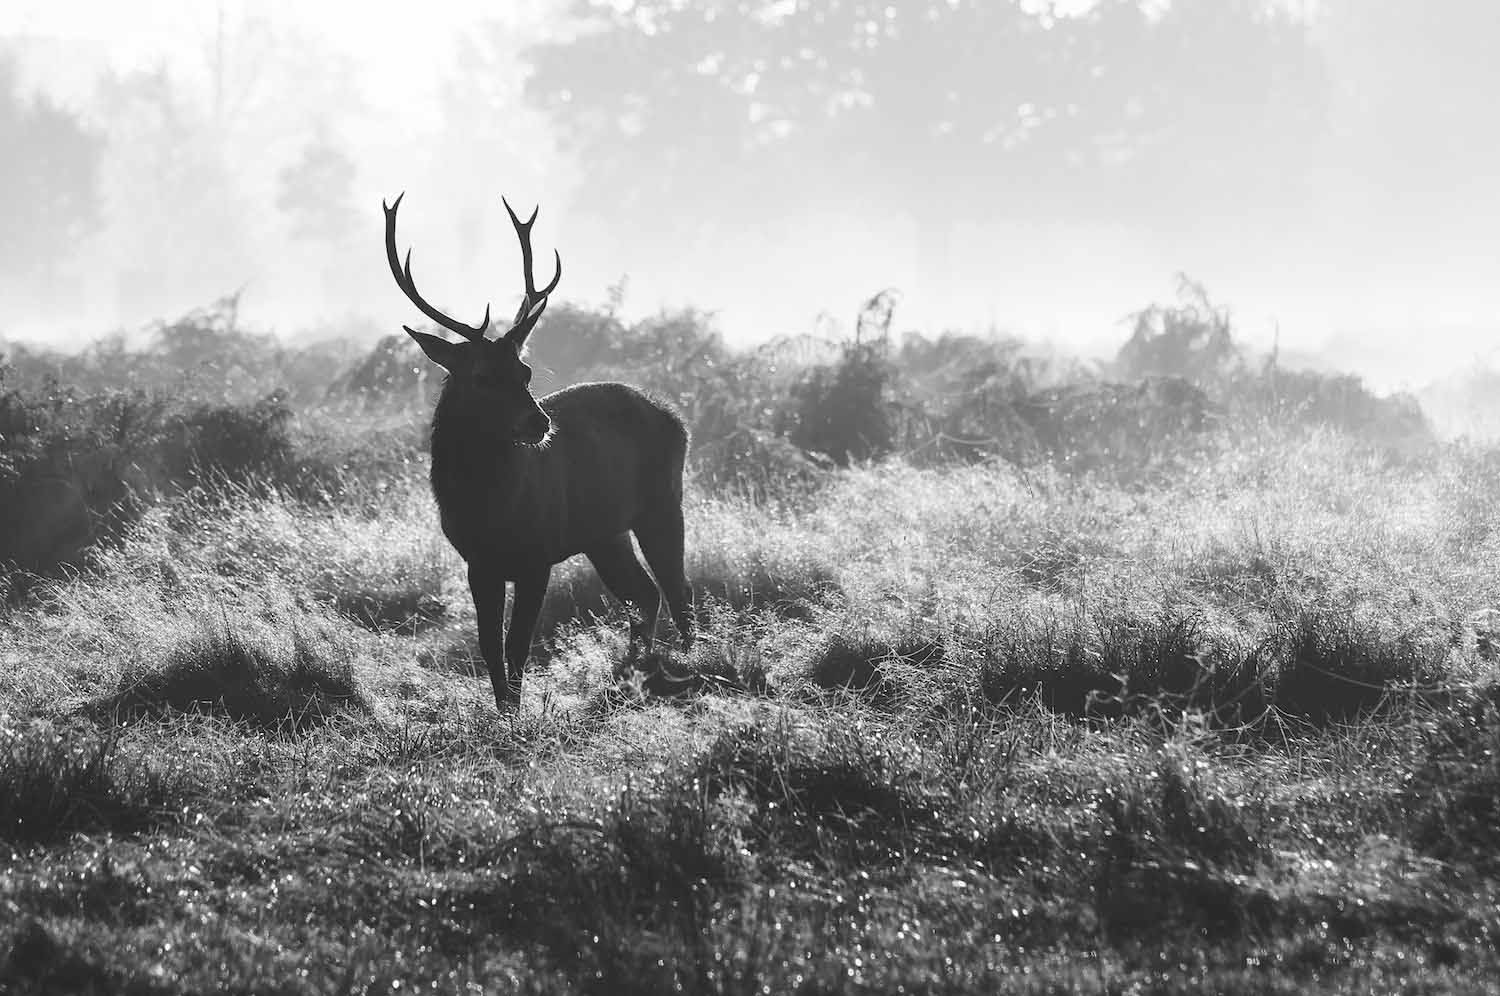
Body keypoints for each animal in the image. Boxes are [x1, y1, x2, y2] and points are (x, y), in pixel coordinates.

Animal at [384, 192, 693, 708]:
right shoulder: (478, 562)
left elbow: (517, 645)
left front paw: (518, 713)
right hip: (604, 532)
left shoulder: (537, 555)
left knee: (677, 587)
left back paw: (688, 663)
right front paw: (502, 712)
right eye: (482, 376)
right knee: (644, 593)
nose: (538, 422)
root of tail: (676, 418)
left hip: (663, 501)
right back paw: (628, 674)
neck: (489, 507)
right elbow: (489, 645)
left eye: (525, 371)